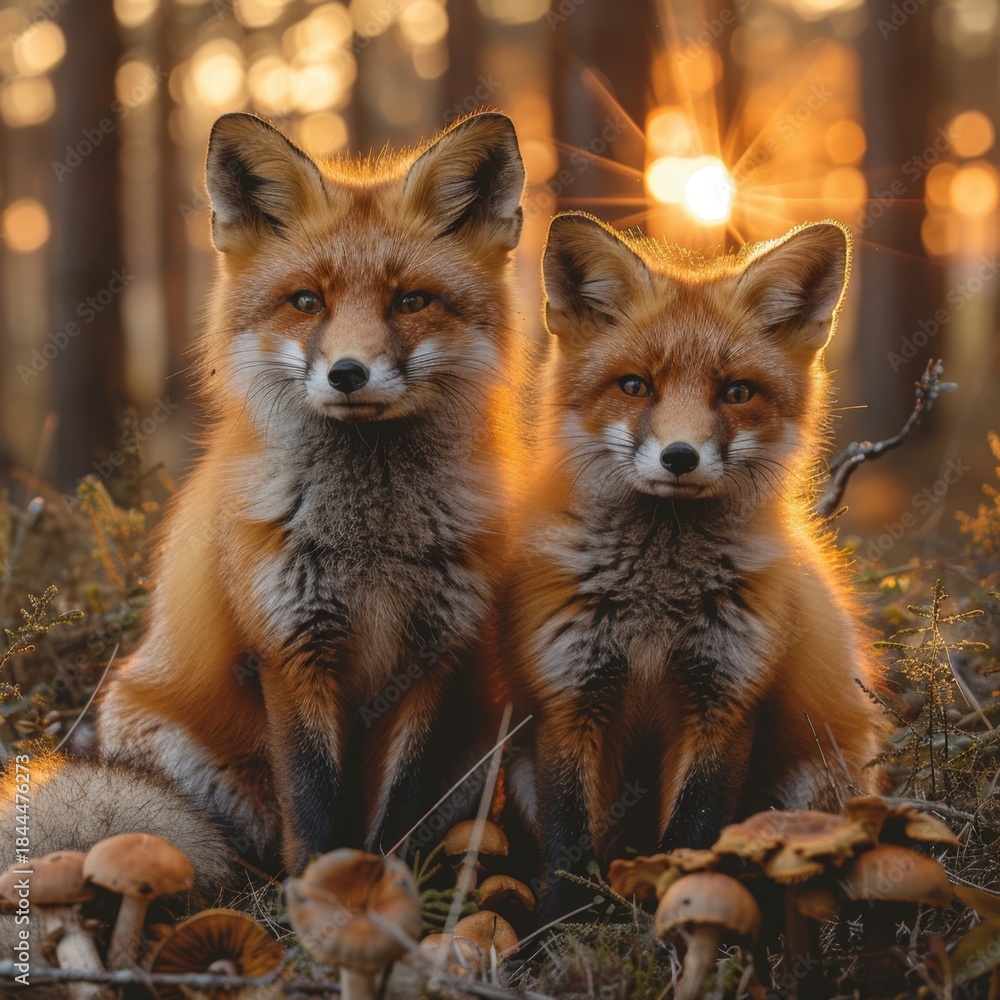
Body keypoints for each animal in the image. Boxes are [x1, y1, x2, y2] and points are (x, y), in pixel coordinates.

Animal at [96, 110, 526, 874]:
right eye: (307, 301)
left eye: (411, 301)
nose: (348, 373)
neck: (372, 541)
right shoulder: (290, 649)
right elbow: (313, 802)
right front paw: (319, 891)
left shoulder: (433, 656)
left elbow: (397, 809)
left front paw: (387, 888)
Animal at [503, 214, 884, 920]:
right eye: (634, 385)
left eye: (736, 392)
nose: (679, 457)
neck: (656, 604)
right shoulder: (571, 695)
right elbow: (570, 843)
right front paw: (559, 935)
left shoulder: (724, 698)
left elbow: (693, 830)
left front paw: (672, 920)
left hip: (814, 780)